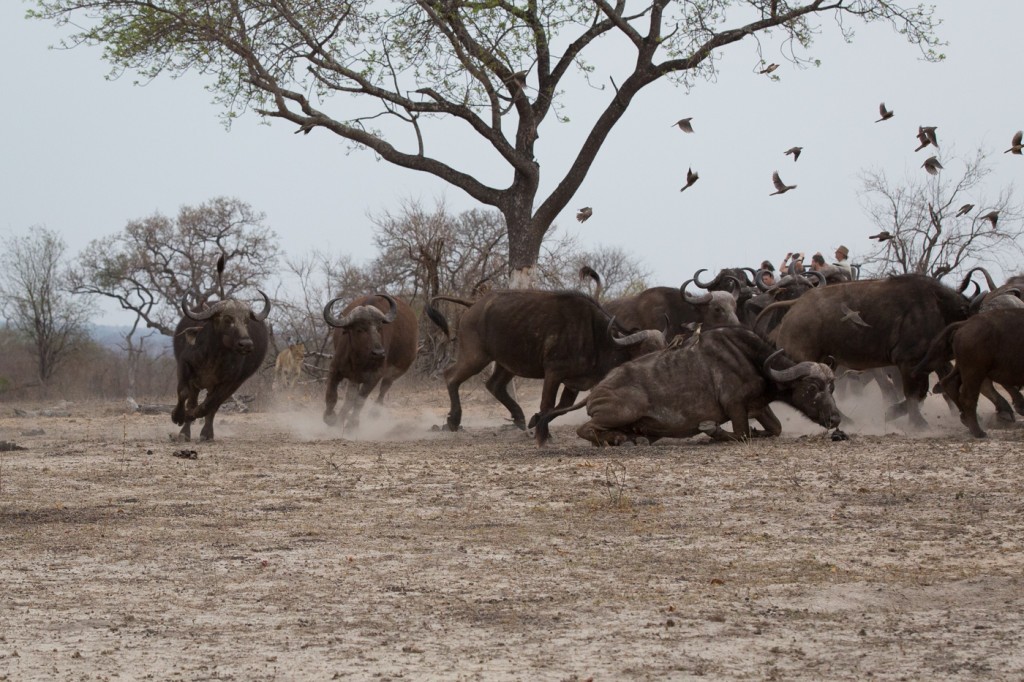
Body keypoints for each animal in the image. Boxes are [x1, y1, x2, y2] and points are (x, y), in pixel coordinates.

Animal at [172, 288, 270, 438]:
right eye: (228, 319)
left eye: (246, 321)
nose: (246, 344)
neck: (214, 357)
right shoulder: (185, 366)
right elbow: (183, 393)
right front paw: (177, 416)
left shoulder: (230, 382)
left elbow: (208, 405)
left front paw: (192, 416)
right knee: (192, 401)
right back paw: (184, 433)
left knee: (212, 406)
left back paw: (206, 433)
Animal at [319, 292, 415, 430]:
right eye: (360, 329)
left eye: (379, 328)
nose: (379, 353)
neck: (358, 360)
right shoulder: (335, 370)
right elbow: (331, 395)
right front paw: (330, 418)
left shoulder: (374, 376)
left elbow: (360, 400)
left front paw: (352, 424)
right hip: (354, 379)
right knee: (349, 398)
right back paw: (341, 419)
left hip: (396, 371)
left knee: (383, 389)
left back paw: (373, 413)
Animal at [423, 288, 663, 444]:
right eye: (646, 351)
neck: (597, 337)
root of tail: (474, 305)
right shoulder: (553, 373)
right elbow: (548, 403)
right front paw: (542, 435)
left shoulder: (574, 383)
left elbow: (561, 407)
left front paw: (536, 421)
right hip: (476, 356)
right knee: (451, 377)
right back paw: (453, 421)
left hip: (506, 363)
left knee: (494, 385)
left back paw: (520, 418)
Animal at [536, 325, 839, 444]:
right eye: (812, 389)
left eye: (832, 388)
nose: (835, 418)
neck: (751, 358)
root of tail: (594, 394)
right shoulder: (736, 406)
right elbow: (741, 434)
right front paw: (712, 430)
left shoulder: (758, 407)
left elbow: (774, 429)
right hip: (624, 410)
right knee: (584, 429)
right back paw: (619, 439)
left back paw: (634, 437)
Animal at [917, 307, 1024, 436]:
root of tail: (965, 323)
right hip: (974, 371)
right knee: (968, 397)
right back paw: (978, 431)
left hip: (964, 368)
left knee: (950, 383)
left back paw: (966, 419)